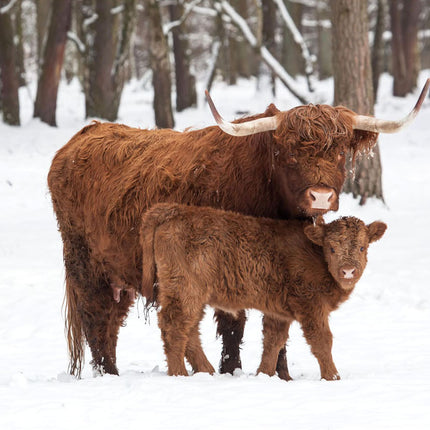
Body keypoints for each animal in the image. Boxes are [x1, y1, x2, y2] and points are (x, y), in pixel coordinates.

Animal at [140, 203, 386, 382]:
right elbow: (322, 341)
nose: (348, 271)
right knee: (175, 326)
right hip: (185, 290)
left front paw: (264, 374)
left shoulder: (279, 313)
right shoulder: (311, 306)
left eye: (362, 247)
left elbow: (272, 342)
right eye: (332, 248)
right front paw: (333, 377)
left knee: (190, 331)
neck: (316, 255)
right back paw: (179, 374)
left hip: (195, 296)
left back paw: (207, 371)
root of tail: (174, 210)